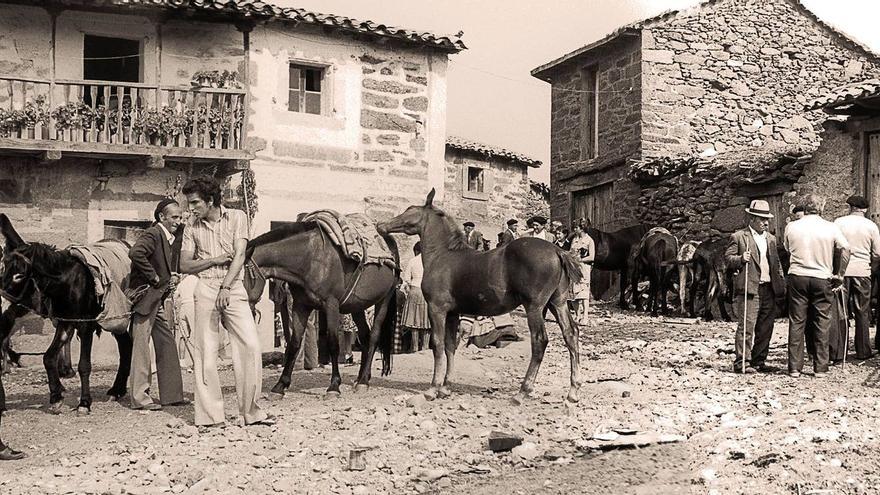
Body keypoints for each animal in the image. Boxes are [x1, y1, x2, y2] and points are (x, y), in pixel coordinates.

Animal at [0, 236, 132, 414]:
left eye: (19, 276)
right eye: (3, 268)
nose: (1, 303)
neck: (67, 282)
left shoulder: (85, 326)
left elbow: (84, 365)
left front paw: (84, 403)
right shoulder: (65, 322)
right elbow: (48, 357)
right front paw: (56, 398)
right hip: (117, 320)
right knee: (126, 346)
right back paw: (117, 390)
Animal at [244, 221, 402, 400]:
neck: (310, 259)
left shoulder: (331, 305)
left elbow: (333, 343)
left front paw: (334, 386)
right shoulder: (301, 306)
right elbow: (294, 345)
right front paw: (280, 386)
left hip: (384, 300)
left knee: (374, 336)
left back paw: (363, 382)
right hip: (357, 305)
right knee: (365, 337)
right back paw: (362, 377)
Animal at [378, 188, 584, 404]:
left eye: (409, 210)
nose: (382, 225)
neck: (442, 255)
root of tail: (557, 250)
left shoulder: (437, 309)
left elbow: (438, 344)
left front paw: (433, 389)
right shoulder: (453, 313)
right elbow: (450, 346)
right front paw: (446, 387)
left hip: (534, 307)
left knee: (539, 341)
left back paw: (522, 392)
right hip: (557, 303)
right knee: (571, 335)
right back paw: (573, 391)